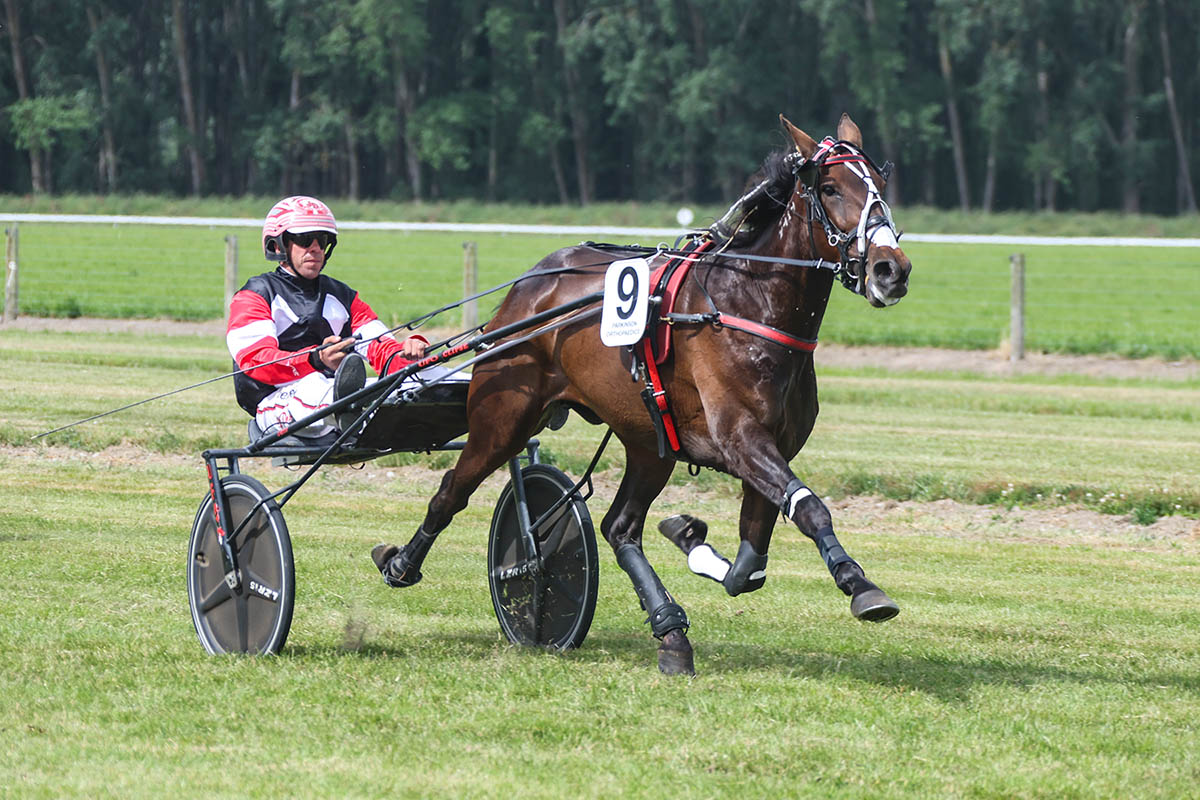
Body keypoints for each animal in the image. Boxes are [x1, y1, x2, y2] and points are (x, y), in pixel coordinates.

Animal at [373, 113, 912, 674]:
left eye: (880, 184)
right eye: (830, 188)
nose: (890, 269)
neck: (747, 304)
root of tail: (527, 288)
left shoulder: (772, 446)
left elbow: (749, 565)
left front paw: (691, 537)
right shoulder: (740, 438)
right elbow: (809, 510)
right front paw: (861, 585)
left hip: (647, 441)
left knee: (619, 528)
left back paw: (670, 631)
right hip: (502, 419)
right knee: (451, 492)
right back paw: (401, 562)